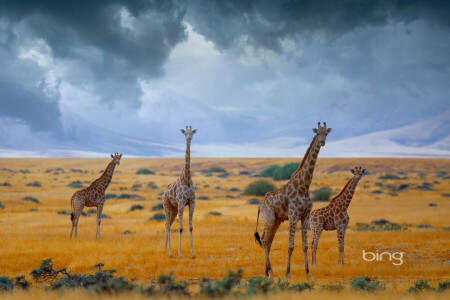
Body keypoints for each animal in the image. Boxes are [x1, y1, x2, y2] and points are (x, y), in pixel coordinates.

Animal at [163, 125, 196, 256]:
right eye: (185, 133)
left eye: (192, 133)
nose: (189, 138)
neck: (187, 178)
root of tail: (164, 192)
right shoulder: (182, 202)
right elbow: (181, 228)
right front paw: (180, 253)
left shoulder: (192, 202)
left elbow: (190, 227)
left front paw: (193, 253)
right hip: (167, 205)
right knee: (167, 225)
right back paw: (170, 252)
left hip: (174, 208)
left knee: (168, 224)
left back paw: (166, 251)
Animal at [255, 122, 332, 278]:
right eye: (317, 133)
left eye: (326, 133)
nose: (322, 142)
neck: (304, 186)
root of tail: (260, 205)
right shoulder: (293, 215)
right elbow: (290, 246)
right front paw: (288, 274)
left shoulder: (305, 215)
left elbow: (305, 246)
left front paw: (308, 274)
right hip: (269, 218)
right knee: (265, 240)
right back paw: (271, 272)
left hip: (276, 220)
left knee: (268, 240)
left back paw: (267, 272)